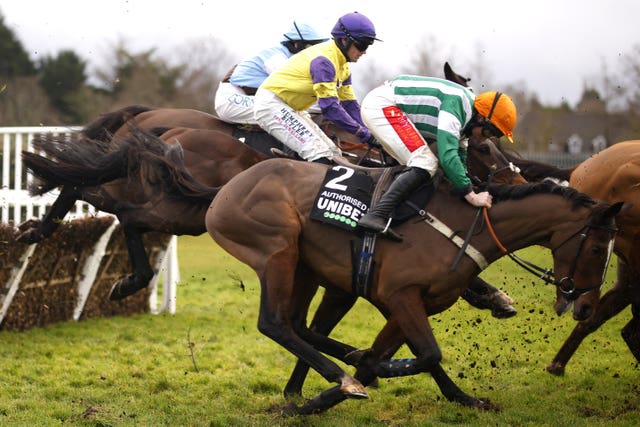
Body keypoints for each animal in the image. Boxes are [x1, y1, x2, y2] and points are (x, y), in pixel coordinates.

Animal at [206, 157, 624, 414]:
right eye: (598, 247)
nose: (583, 302)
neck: (463, 224)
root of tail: (226, 189)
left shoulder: (410, 302)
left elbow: (409, 353)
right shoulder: (400, 295)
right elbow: (425, 354)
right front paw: (356, 377)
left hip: (306, 270)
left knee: (298, 325)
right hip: (277, 250)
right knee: (274, 323)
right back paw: (341, 376)